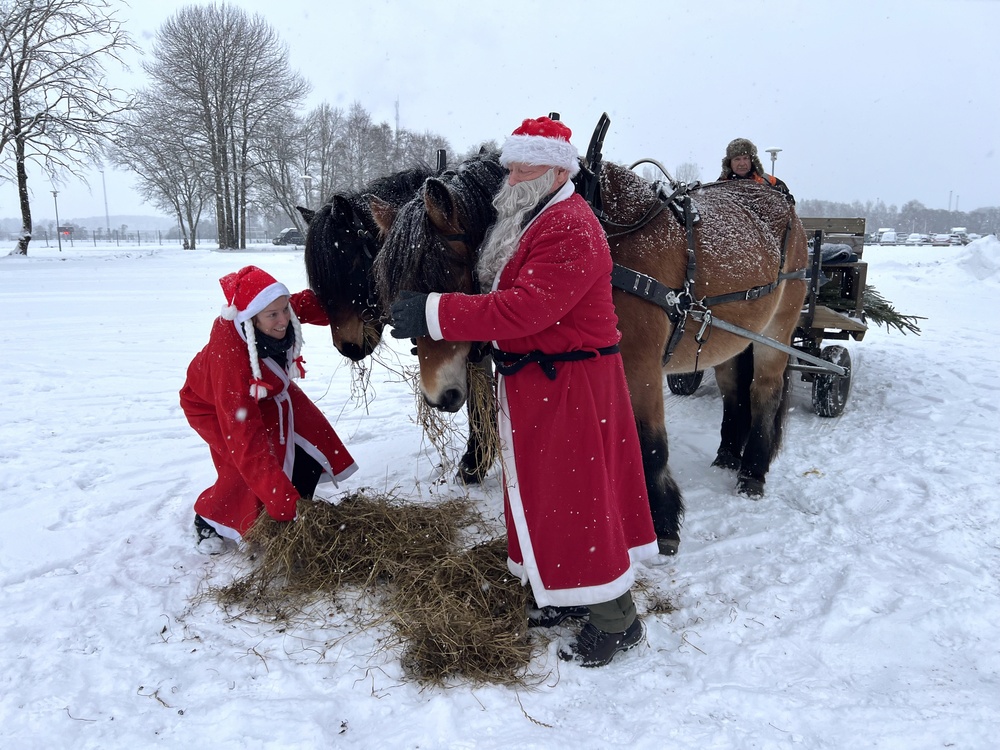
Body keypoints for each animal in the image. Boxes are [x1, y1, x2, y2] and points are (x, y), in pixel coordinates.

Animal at [372, 163, 808, 552]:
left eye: (440, 274)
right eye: (392, 288)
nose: (436, 396)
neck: (602, 238)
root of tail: (782, 201)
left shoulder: (642, 364)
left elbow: (650, 441)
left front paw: (662, 521)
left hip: (775, 332)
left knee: (764, 393)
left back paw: (752, 471)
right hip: (727, 338)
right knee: (735, 391)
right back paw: (728, 456)